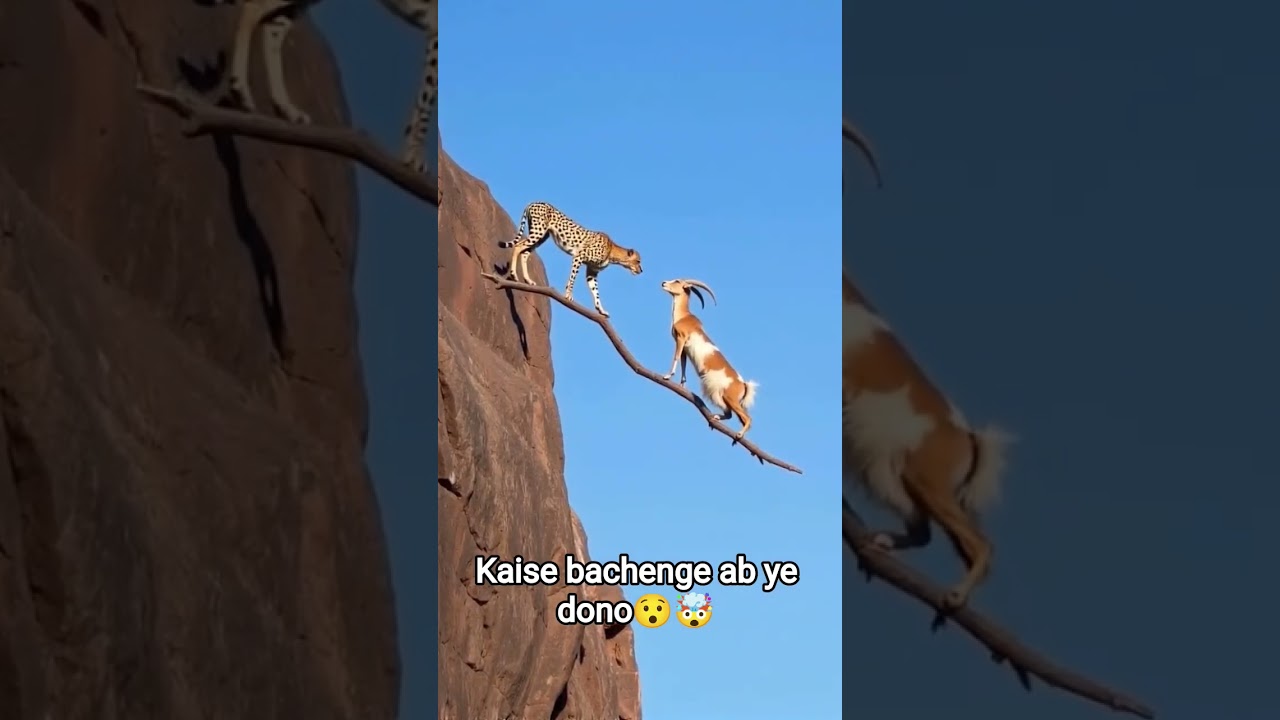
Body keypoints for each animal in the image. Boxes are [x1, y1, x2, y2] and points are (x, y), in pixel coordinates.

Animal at [498, 201, 643, 318]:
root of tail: (534, 201)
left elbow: (596, 292)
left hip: (542, 236)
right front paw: (568, 295)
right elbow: (572, 278)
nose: (641, 270)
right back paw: (514, 274)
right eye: (638, 261)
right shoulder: (579, 257)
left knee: (525, 252)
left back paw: (528, 280)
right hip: (538, 232)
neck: (612, 251)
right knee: (518, 246)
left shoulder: (591, 272)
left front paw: (601, 310)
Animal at [660, 279, 758, 440]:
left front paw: (667, 376)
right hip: (724, 399)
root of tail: (743, 384)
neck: (684, 316)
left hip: (729, 398)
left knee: (747, 418)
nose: (663, 283)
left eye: (677, 281)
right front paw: (682, 385)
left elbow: (676, 357)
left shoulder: (680, 339)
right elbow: (683, 364)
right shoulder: (684, 349)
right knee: (731, 415)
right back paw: (717, 418)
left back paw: (738, 435)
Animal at [842, 269, 1012, 610]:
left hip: (926, 486)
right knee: (925, 534)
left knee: (981, 545)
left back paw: (956, 596)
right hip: (901, 486)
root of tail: (971, 438)